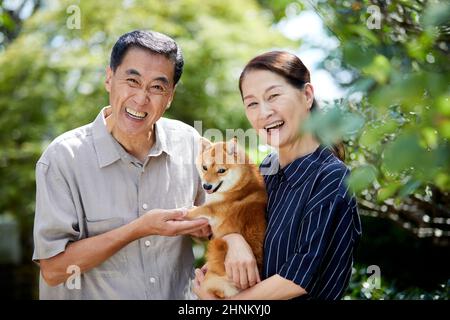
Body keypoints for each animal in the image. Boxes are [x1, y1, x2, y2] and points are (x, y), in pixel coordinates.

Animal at [186, 138, 268, 300]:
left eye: (221, 170)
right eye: (204, 168)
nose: (206, 186)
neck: (239, 186)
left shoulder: (212, 210)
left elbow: (194, 211)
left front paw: (184, 211)